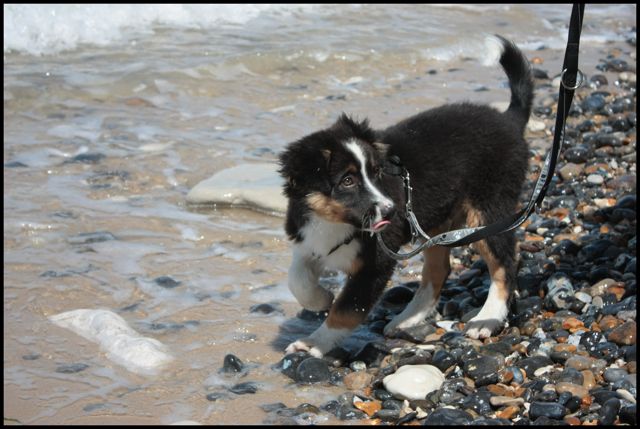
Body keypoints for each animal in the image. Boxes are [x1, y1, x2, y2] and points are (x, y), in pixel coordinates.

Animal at [278, 36, 532, 358]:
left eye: (376, 173)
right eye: (347, 181)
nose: (390, 211)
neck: (334, 222)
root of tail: (508, 120)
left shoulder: (375, 264)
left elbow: (346, 310)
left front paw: (313, 343)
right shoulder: (308, 239)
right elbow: (296, 277)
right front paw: (320, 299)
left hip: (488, 210)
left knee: (504, 264)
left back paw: (487, 318)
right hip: (437, 225)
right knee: (439, 269)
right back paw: (407, 319)